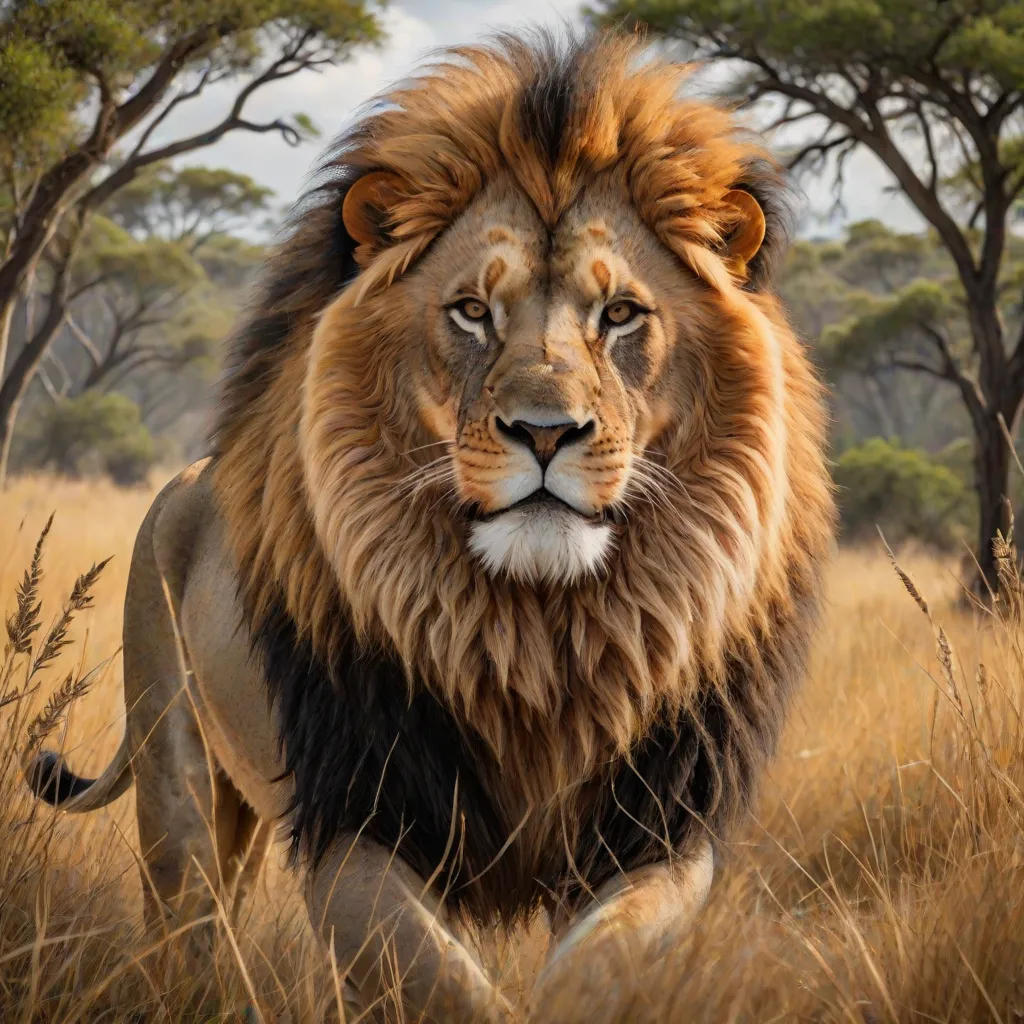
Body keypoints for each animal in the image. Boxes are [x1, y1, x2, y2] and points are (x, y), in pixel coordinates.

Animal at [26, 31, 834, 1022]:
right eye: (472, 311)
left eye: (620, 314)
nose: (545, 432)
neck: (540, 636)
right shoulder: (352, 814)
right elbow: (440, 981)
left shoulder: (662, 827)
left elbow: (597, 966)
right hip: (175, 785)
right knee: (186, 934)